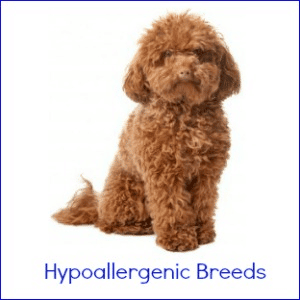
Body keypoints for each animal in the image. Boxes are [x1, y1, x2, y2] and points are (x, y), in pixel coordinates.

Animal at [52, 12, 240, 251]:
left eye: (197, 51)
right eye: (167, 53)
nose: (185, 71)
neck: (185, 110)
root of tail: (99, 205)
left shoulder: (206, 173)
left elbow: (202, 204)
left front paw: (202, 233)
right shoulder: (164, 173)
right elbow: (172, 207)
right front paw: (178, 237)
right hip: (127, 193)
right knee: (108, 224)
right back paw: (138, 227)